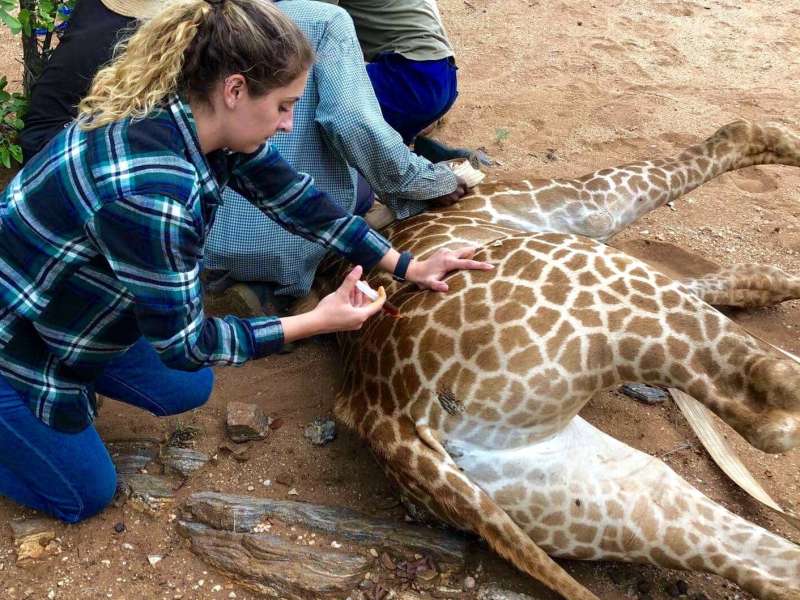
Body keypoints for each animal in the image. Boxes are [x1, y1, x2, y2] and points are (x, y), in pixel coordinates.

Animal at [309, 120, 800, 600]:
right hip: (596, 273)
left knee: (769, 563)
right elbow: (741, 132)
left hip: (584, 490)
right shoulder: (590, 204)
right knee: (774, 403)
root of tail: (389, 423)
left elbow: (743, 280)